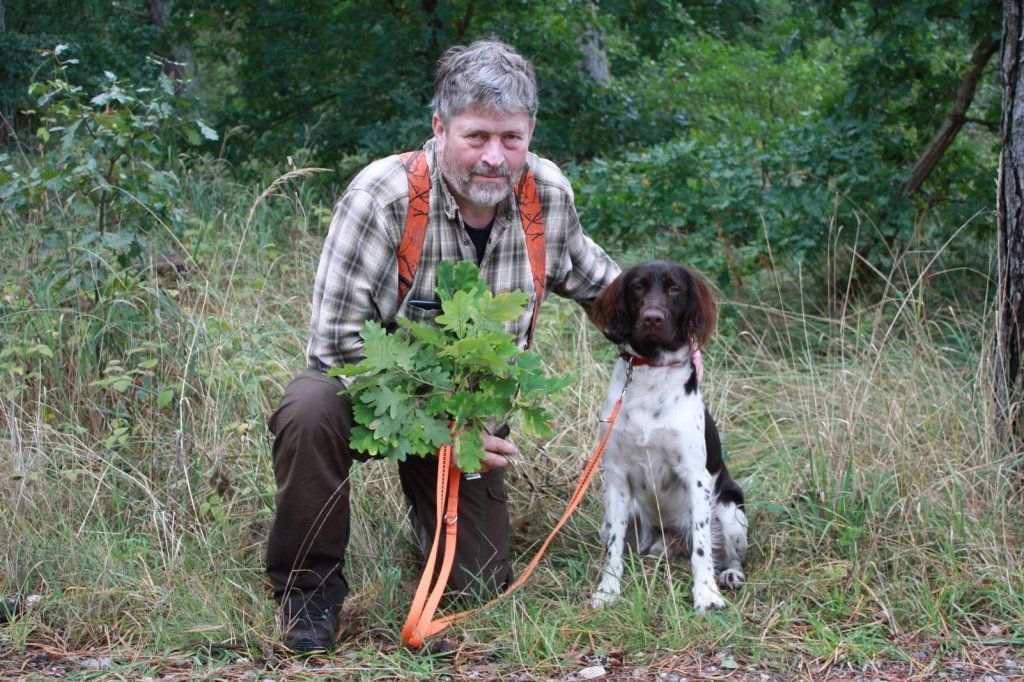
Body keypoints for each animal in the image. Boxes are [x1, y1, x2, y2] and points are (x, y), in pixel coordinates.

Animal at [589, 260, 749, 610]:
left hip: (728, 509)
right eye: (638, 286)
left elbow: (702, 549)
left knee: (726, 553)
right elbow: (613, 548)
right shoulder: (616, 475)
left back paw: (730, 574)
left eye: (675, 289)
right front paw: (607, 591)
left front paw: (706, 594)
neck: (653, 372)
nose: (652, 317)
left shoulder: (696, 476)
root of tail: (670, 539)